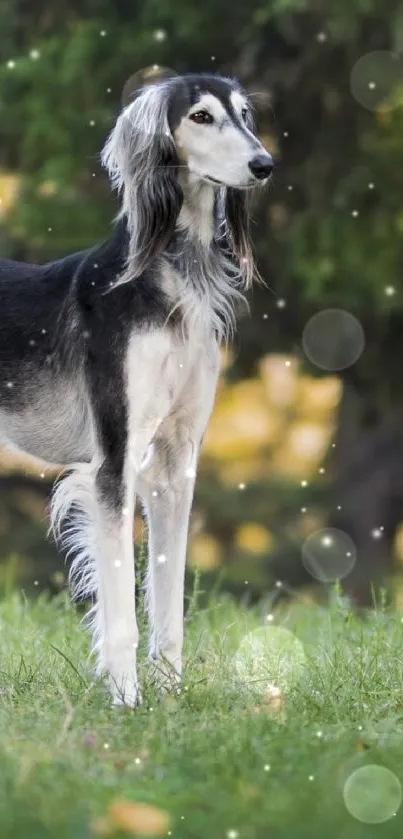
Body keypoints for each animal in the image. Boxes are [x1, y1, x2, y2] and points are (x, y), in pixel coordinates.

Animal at [0, 72, 274, 704]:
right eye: (200, 116)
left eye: (244, 114)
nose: (264, 163)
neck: (169, 275)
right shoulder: (113, 463)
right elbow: (122, 605)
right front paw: (126, 699)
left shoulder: (175, 462)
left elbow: (168, 600)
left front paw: (170, 697)